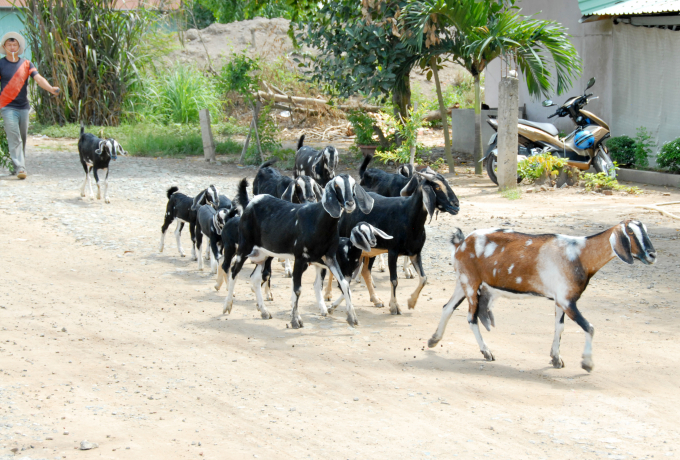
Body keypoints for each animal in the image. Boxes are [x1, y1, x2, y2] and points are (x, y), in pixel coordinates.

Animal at [223, 172, 374, 328]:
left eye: (353, 185)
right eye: (337, 185)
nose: (350, 203)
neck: (317, 220)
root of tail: (252, 202)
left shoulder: (329, 257)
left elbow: (344, 283)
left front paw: (352, 317)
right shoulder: (300, 258)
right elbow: (297, 289)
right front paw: (295, 320)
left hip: (264, 254)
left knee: (255, 278)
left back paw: (264, 312)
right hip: (244, 246)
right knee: (234, 271)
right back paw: (227, 305)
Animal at [330, 170, 460, 316]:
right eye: (437, 187)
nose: (456, 205)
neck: (409, 217)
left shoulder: (415, 253)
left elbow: (423, 278)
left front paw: (411, 302)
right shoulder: (393, 252)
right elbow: (394, 280)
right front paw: (394, 306)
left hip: (370, 250)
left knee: (365, 271)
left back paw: (375, 299)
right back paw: (327, 296)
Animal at [428, 220, 656, 374]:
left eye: (645, 230)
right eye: (630, 232)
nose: (652, 255)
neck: (581, 255)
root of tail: (461, 243)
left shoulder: (561, 300)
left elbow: (559, 327)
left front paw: (556, 359)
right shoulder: (567, 301)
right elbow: (590, 327)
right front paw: (587, 363)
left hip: (463, 283)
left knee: (447, 307)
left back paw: (433, 340)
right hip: (471, 283)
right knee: (471, 317)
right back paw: (486, 352)